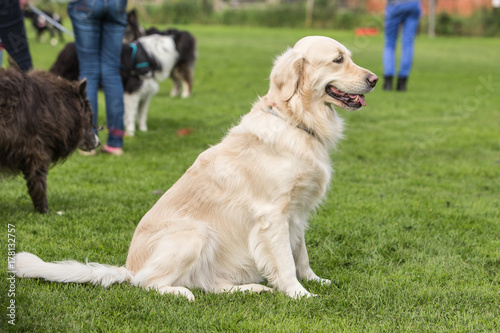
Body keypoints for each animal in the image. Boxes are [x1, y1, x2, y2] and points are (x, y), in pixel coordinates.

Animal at [13, 36, 376, 300]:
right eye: (337, 60)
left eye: (348, 56)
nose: (374, 80)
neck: (296, 120)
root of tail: (128, 266)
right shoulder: (273, 215)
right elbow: (286, 261)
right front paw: (300, 294)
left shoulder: (297, 213)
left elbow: (301, 254)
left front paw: (315, 280)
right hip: (196, 232)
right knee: (146, 283)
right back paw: (179, 292)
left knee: (209, 285)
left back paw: (250, 288)